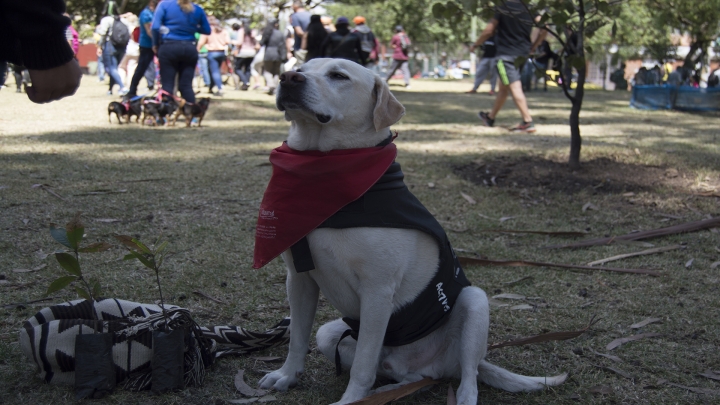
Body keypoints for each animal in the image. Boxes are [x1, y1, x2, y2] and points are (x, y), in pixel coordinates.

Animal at [256, 58, 564, 402]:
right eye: (300, 67)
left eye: (338, 75)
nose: (287, 78)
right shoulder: (299, 280)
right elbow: (298, 337)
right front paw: (287, 375)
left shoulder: (377, 291)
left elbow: (363, 364)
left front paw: (350, 400)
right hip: (331, 334)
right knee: (414, 376)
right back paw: (391, 388)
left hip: (474, 302)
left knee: (468, 376)